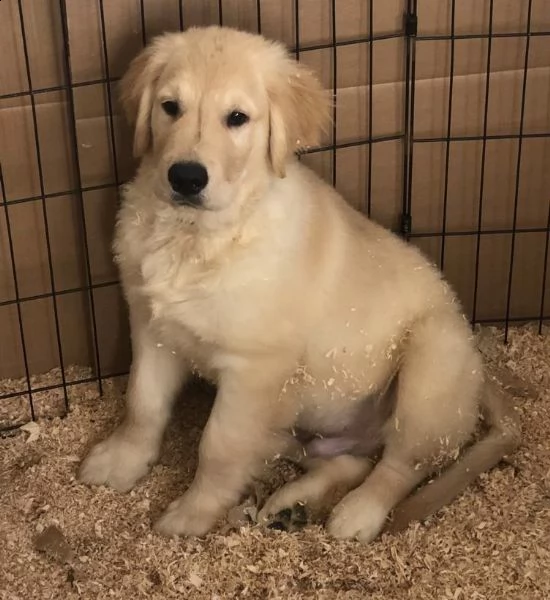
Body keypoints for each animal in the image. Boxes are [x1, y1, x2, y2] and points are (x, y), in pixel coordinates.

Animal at [78, 27, 520, 544]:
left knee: (399, 465)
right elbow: (142, 404)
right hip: (299, 422)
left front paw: (192, 513)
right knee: (348, 460)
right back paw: (293, 503)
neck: (199, 237)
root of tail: (479, 368)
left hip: (431, 363)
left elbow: (218, 446)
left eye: (237, 118)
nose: (185, 177)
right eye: (170, 107)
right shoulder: (152, 327)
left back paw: (358, 513)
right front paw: (121, 461)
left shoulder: (254, 372)